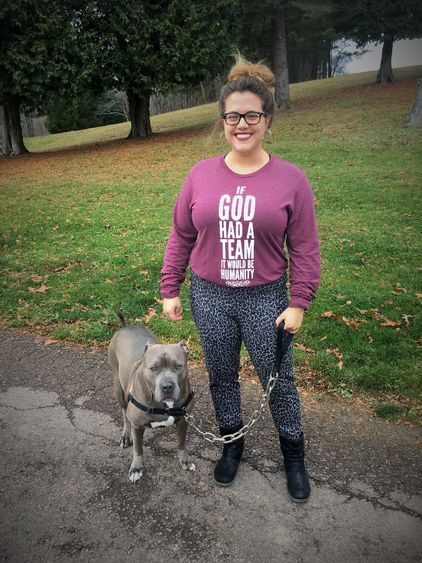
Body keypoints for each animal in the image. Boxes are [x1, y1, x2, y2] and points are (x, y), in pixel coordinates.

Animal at [108, 316, 195, 482]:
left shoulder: (183, 420)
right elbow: (138, 448)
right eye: (153, 368)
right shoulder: (137, 426)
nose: (167, 387)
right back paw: (125, 436)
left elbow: (181, 442)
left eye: (178, 366)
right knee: (124, 413)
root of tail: (126, 327)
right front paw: (136, 467)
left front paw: (185, 459)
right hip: (118, 389)